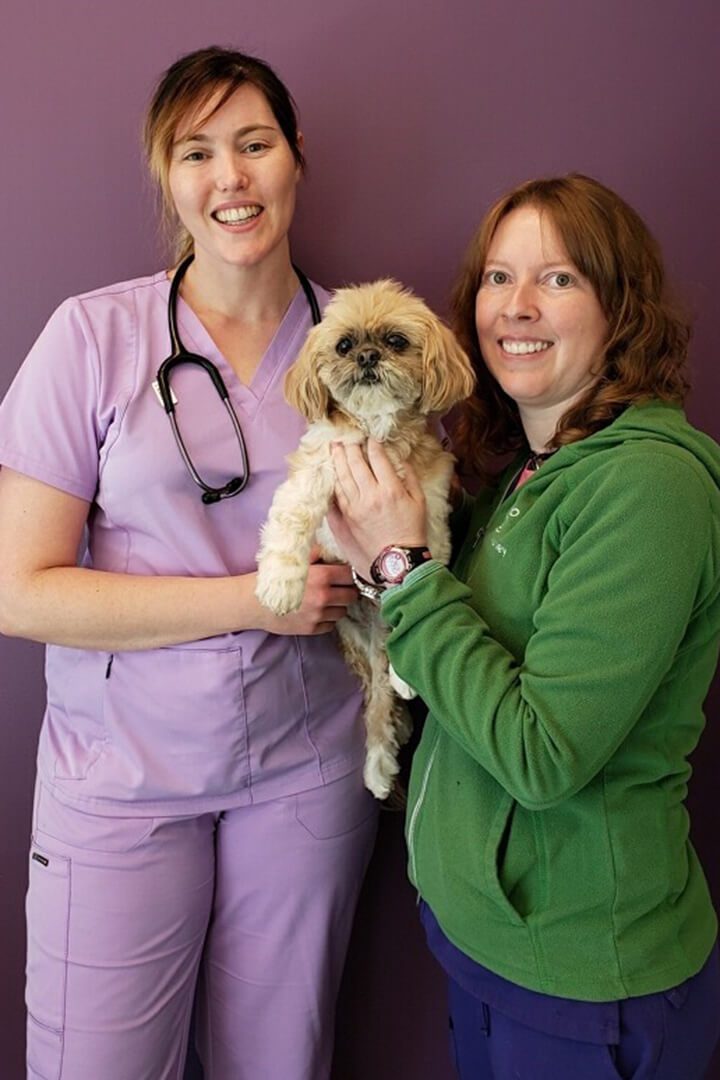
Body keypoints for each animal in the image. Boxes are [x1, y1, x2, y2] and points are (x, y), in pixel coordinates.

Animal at [255, 282, 474, 799]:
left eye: (396, 341)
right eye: (343, 345)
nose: (368, 356)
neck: (377, 434)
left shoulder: (431, 510)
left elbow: (419, 574)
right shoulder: (318, 467)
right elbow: (292, 519)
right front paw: (280, 585)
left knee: (382, 695)